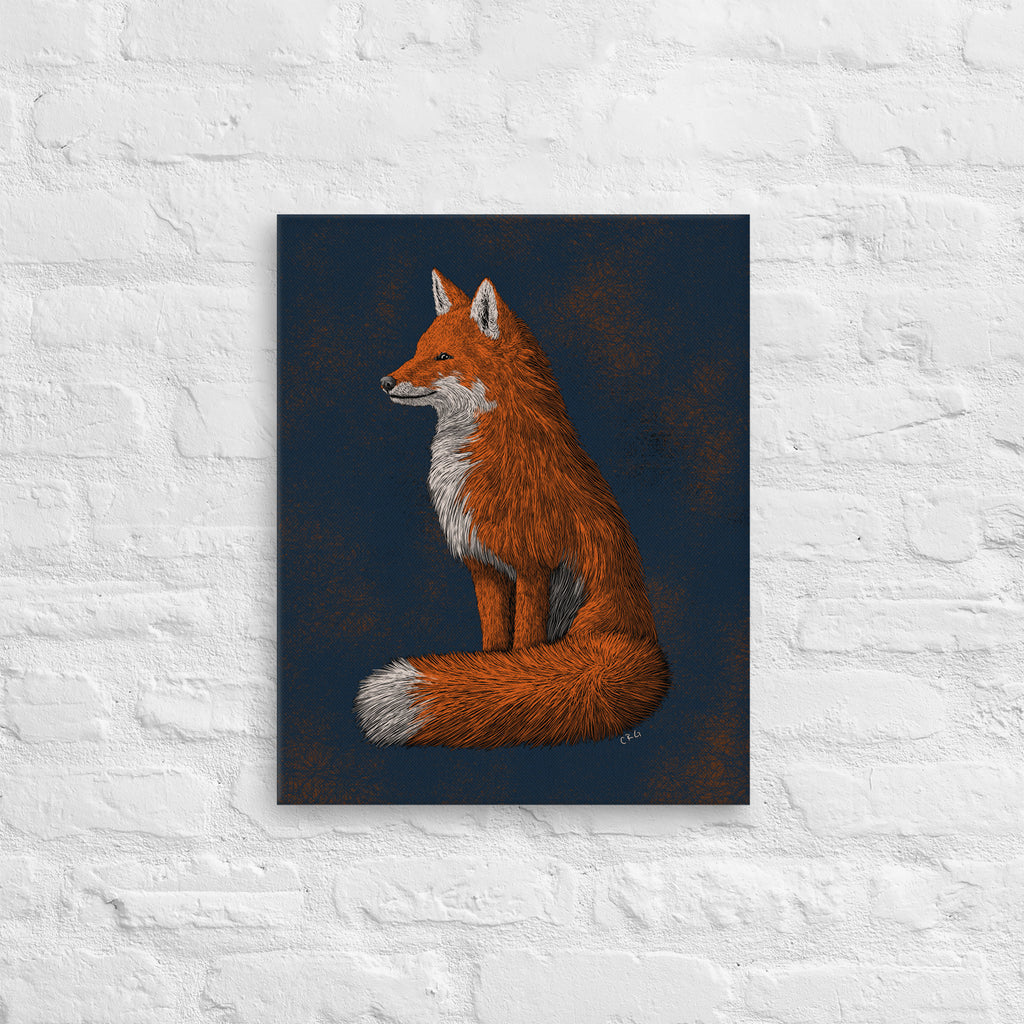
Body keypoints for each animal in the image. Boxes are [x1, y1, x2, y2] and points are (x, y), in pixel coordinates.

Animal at [354, 270, 671, 748]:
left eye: (443, 356)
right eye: (418, 349)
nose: (386, 382)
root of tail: (642, 638)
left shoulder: (533, 567)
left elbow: (523, 648)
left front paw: (509, 680)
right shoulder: (484, 567)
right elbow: (495, 646)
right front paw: (488, 676)